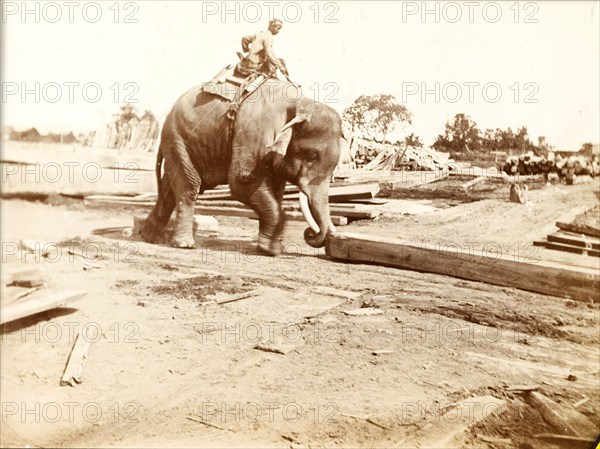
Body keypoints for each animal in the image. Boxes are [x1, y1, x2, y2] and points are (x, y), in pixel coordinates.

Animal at [141, 78, 344, 256]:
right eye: (312, 156)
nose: (310, 233)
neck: (300, 102)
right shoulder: (254, 133)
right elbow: (242, 184)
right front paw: (270, 251)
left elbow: (276, 192)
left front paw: (272, 248)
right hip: (178, 138)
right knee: (189, 187)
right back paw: (184, 244)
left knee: (169, 188)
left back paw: (151, 238)